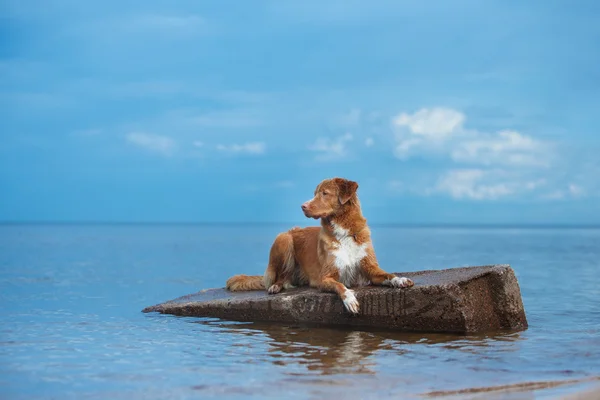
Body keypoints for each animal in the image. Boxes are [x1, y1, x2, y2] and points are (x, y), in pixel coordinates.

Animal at [225, 177, 412, 314]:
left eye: (324, 193)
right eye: (315, 193)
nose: (303, 206)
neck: (344, 231)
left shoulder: (370, 268)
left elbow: (387, 274)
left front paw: (400, 279)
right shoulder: (325, 277)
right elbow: (341, 286)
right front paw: (350, 299)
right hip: (284, 238)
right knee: (281, 276)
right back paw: (275, 287)